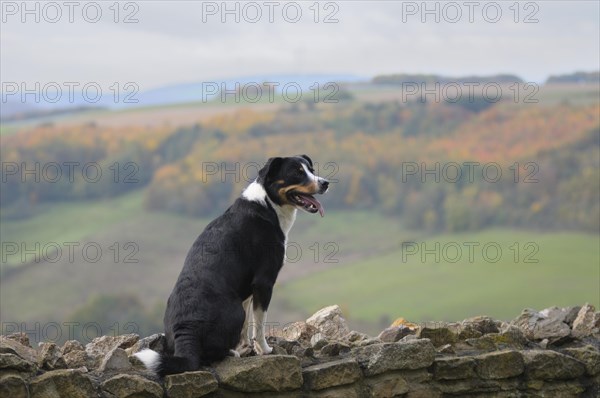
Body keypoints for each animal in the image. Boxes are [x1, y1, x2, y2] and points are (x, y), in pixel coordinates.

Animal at [135, 155, 328, 376]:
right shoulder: (264, 282)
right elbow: (258, 325)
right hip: (235, 309)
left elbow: (245, 328)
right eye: (297, 173)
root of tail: (186, 330)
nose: (325, 183)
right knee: (212, 354)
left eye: (311, 169)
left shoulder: (247, 290)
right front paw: (264, 350)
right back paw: (230, 353)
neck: (267, 204)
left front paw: (245, 348)